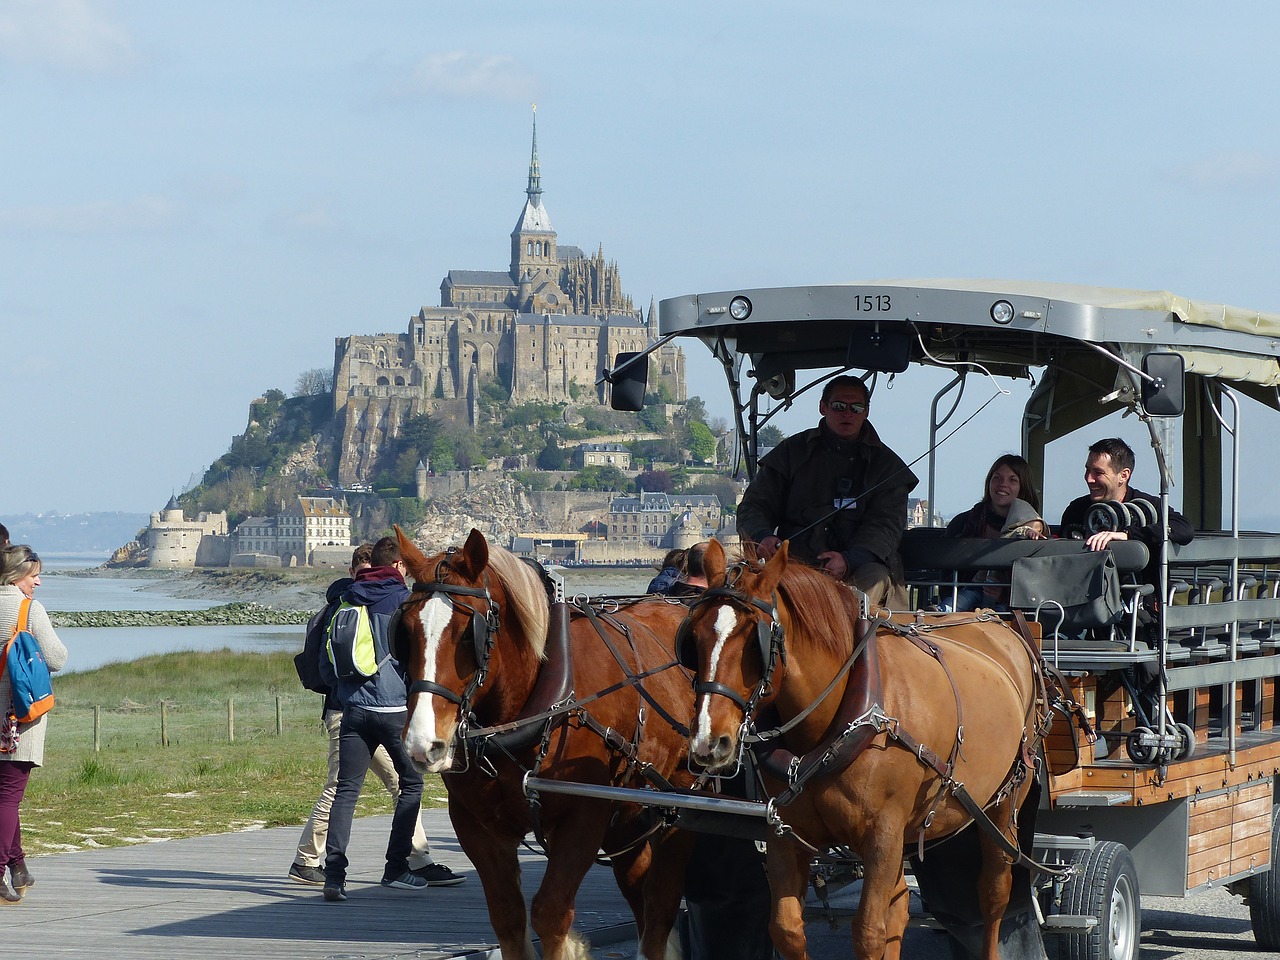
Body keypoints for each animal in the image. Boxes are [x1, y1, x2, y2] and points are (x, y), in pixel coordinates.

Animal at [396, 527, 701, 960]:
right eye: (404, 631)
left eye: (468, 634)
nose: (424, 744)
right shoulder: (475, 824)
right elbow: (508, 917)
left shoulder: (584, 817)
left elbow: (551, 915)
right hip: (630, 813)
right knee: (639, 892)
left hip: (683, 801)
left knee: (661, 901)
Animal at [686, 542, 1044, 960]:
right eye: (694, 637)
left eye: (752, 640)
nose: (709, 741)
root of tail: (1001, 624)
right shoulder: (786, 834)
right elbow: (787, 929)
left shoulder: (882, 836)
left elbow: (869, 932)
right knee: (902, 905)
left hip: (1005, 804)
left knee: (993, 894)